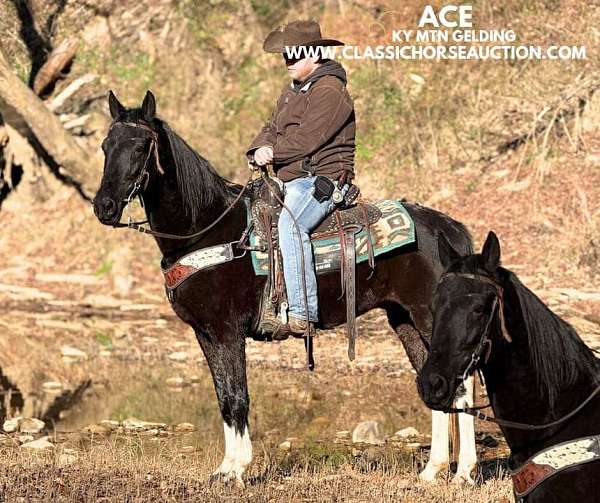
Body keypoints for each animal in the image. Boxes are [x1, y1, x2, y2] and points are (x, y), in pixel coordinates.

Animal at [92, 90, 474, 484]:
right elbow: (223, 397)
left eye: (140, 147)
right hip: (405, 321)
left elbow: (237, 397)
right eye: (106, 145)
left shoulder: (227, 331)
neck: (206, 228)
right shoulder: (206, 333)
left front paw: (237, 470)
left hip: (429, 317)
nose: (104, 207)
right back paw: (432, 471)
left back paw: (463, 473)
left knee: (461, 385)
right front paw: (224, 469)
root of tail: (449, 229)